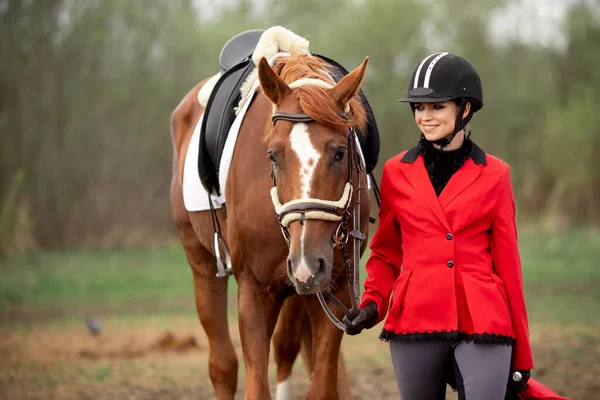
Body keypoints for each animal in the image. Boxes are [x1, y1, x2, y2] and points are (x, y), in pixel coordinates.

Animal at [169, 52, 372, 396]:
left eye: (340, 152)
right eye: (273, 156)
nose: (307, 261)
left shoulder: (337, 290)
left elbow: (321, 384)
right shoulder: (255, 291)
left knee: (287, 347)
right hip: (202, 260)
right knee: (223, 365)